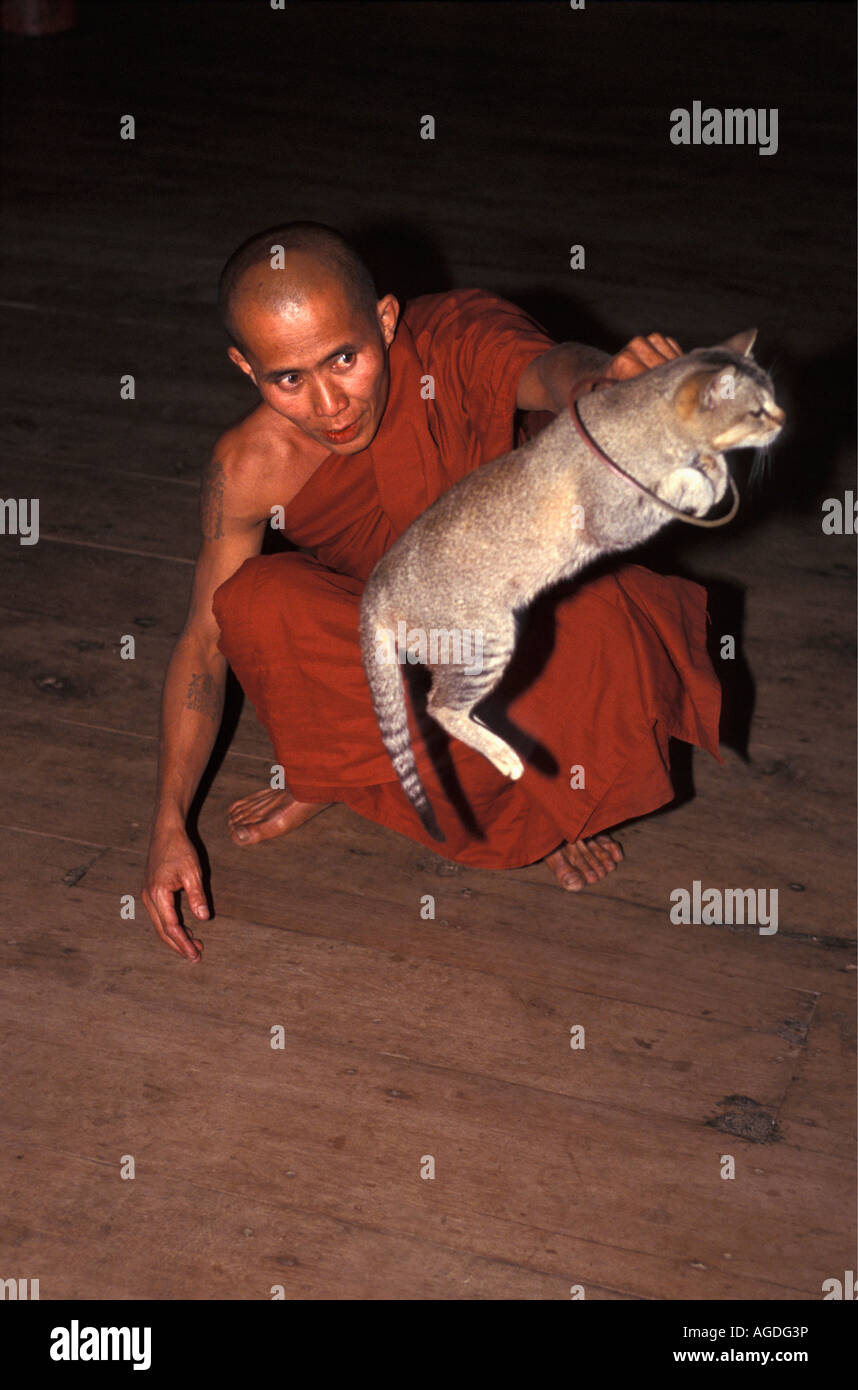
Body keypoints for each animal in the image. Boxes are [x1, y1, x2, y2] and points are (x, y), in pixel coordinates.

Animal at [358, 330, 784, 839]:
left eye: (772, 400)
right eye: (757, 411)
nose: (783, 420)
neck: (646, 418)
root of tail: (375, 591)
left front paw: (713, 471)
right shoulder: (614, 516)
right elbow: (676, 486)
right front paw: (704, 481)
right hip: (486, 637)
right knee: (439, 706)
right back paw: (504, 754)